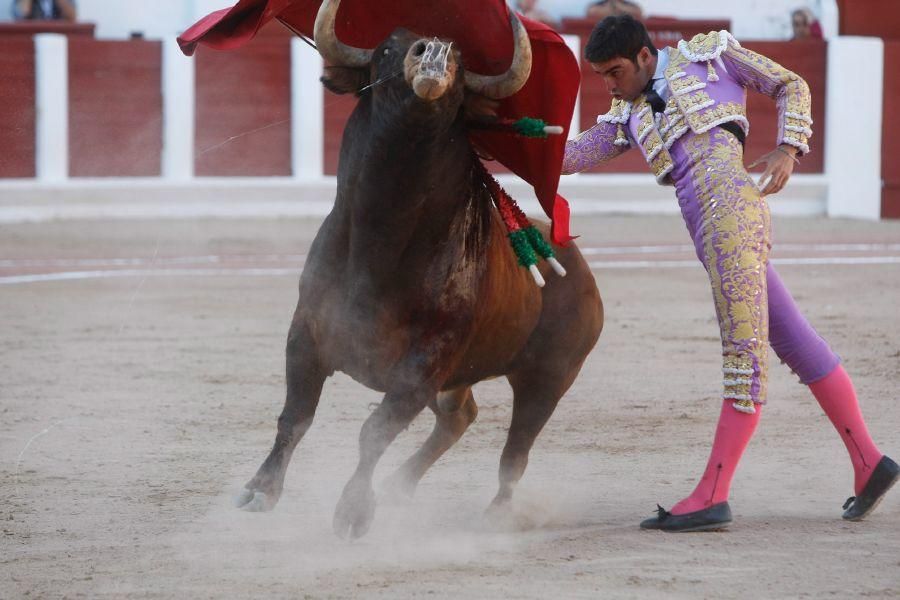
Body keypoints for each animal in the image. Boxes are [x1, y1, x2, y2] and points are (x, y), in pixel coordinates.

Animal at [236, 0, 604, 540]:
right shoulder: (306, 334)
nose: (434, 53)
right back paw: (397, 489)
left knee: (514, 453)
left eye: (463, 69)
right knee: (459, 417)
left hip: (548, 377)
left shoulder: (425, 364)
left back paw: (494, 516)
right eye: (389, 48)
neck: (381, 242)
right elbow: (296, 416)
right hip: (460, 381)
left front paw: (353, 512)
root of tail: (580, 271)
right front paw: (260, 490)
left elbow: (374, 431)